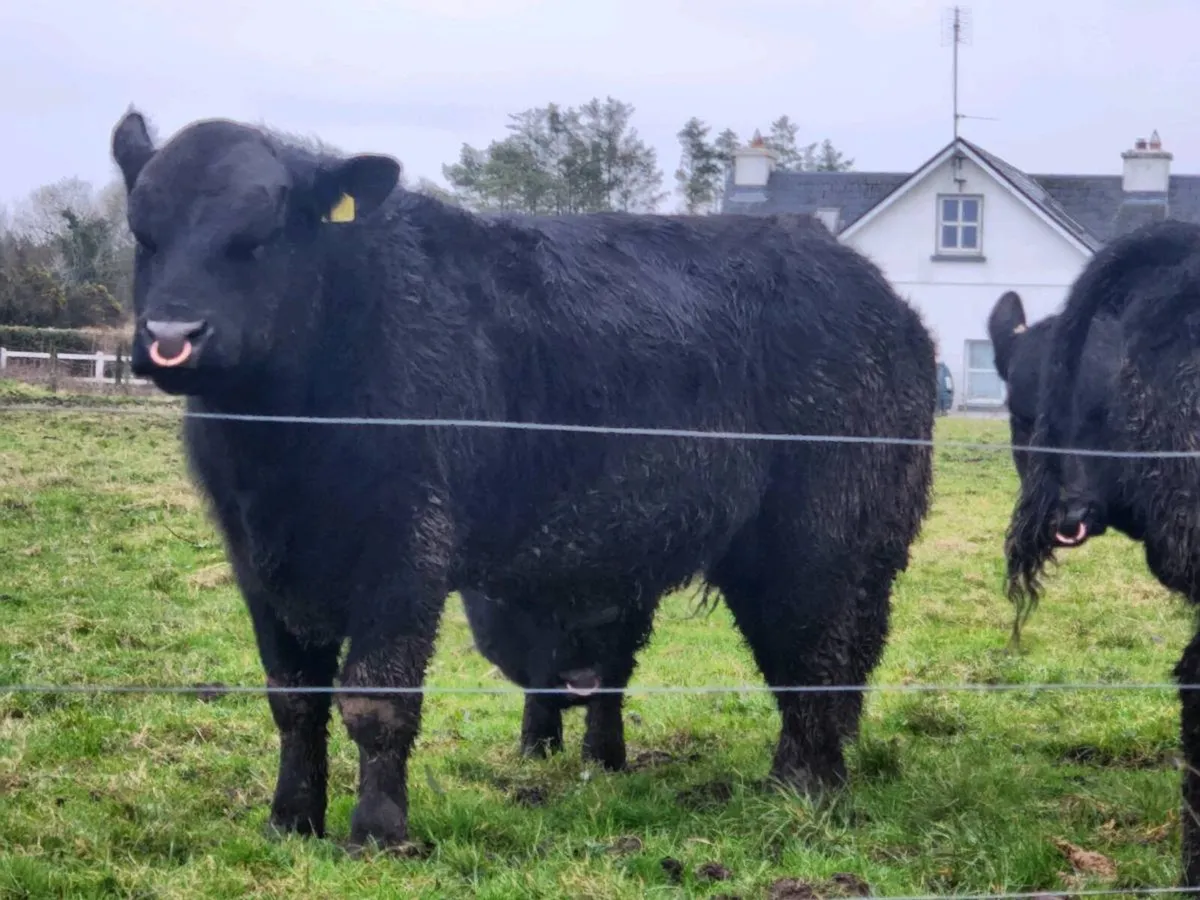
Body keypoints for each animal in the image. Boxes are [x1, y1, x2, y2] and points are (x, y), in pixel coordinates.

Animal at [110, 107, 937, 852]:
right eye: (143, 235)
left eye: (260, 236)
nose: (172, 339)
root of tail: (883, 302)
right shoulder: (259, 563)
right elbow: (293, 701)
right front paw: (290, 821)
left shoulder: (407, 550)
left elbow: (377, 698)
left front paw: (379, 833)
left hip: (819, 538)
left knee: (814, 658)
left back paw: (804, 790)